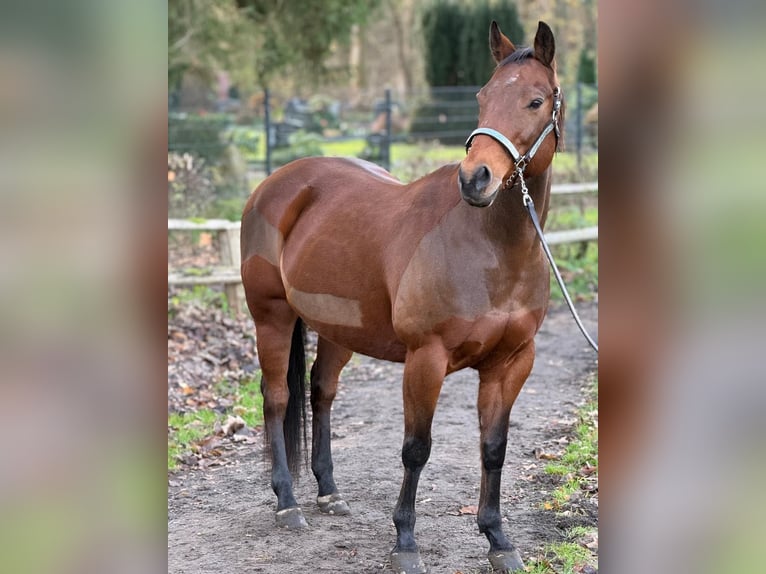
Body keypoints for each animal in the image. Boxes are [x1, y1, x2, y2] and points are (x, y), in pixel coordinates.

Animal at [240, 20, 564, 574]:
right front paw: (406, 543)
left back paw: (329, 492)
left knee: (321, 392)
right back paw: (287, 502)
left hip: (339, 328)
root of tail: (276, 183)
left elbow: (493, 448)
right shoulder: (425, 359)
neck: (492, 248)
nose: (475, 178)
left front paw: (498, 539)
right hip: (272, 318)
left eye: (536, 100)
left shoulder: (512, 362)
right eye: (481, 97)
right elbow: (416, 448)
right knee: (277, 396)